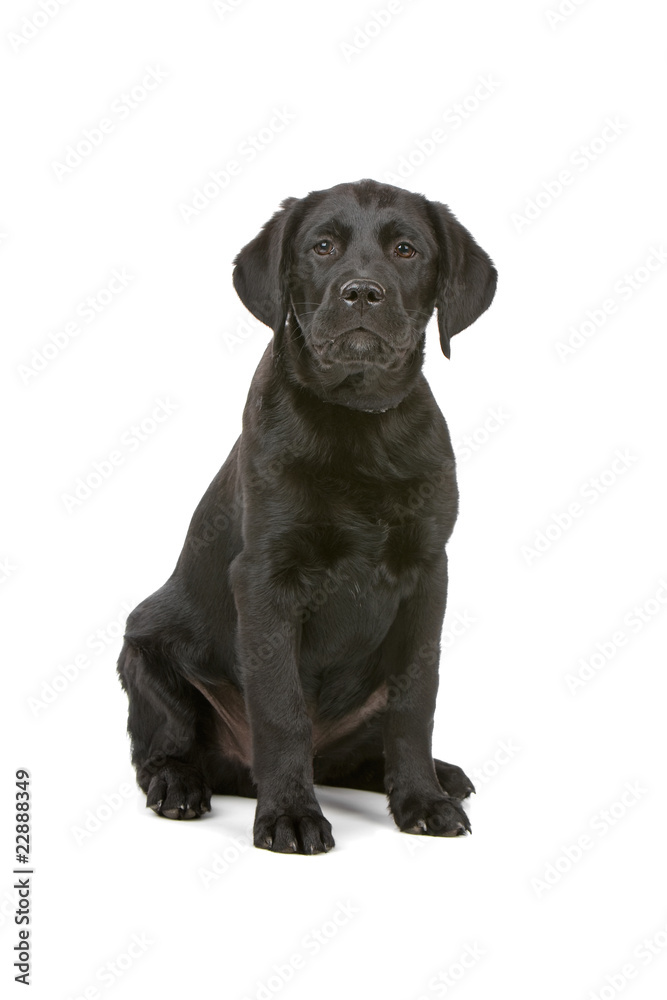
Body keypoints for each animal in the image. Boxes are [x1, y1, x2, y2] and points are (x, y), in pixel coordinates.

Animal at [117, 178, 498, 852]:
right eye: (322, 246)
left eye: (405, 249)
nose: (362, 291)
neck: (358, 424)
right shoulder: (266, 578)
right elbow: (281, 708)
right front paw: (290, 815)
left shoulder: (429, 576)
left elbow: (415, 705)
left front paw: (423, 800)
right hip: (143, 647)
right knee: (163, 747)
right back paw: (179, 785)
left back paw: (440, 776)